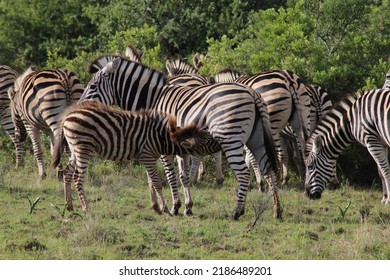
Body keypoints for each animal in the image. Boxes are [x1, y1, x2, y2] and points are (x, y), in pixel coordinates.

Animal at [51, 101, 219, 213]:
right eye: (208, 140)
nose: (220, 141)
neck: (162, 137)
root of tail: (68, 114)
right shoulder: (148, 155)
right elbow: (157, 182)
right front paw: (165, 208)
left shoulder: (149, 157)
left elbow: (150, 181)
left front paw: (155, 207)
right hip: (83, 148)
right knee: (78, 178)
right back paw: (86, 208)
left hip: (74, 149)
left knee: (67, 173)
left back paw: (70, 206)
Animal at [79, 55, 280, 221]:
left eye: (92, 86)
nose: (80, 106)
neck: (153, 99)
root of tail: (251, 93)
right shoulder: (178, 146)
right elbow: (183, 176)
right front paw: (187, 207)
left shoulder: (160, 144)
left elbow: (169, 175)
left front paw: (173, 207)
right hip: (257, 140)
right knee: (268, 168)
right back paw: (277, 209)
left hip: (230, 139)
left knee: (243, 173)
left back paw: (237, 211)